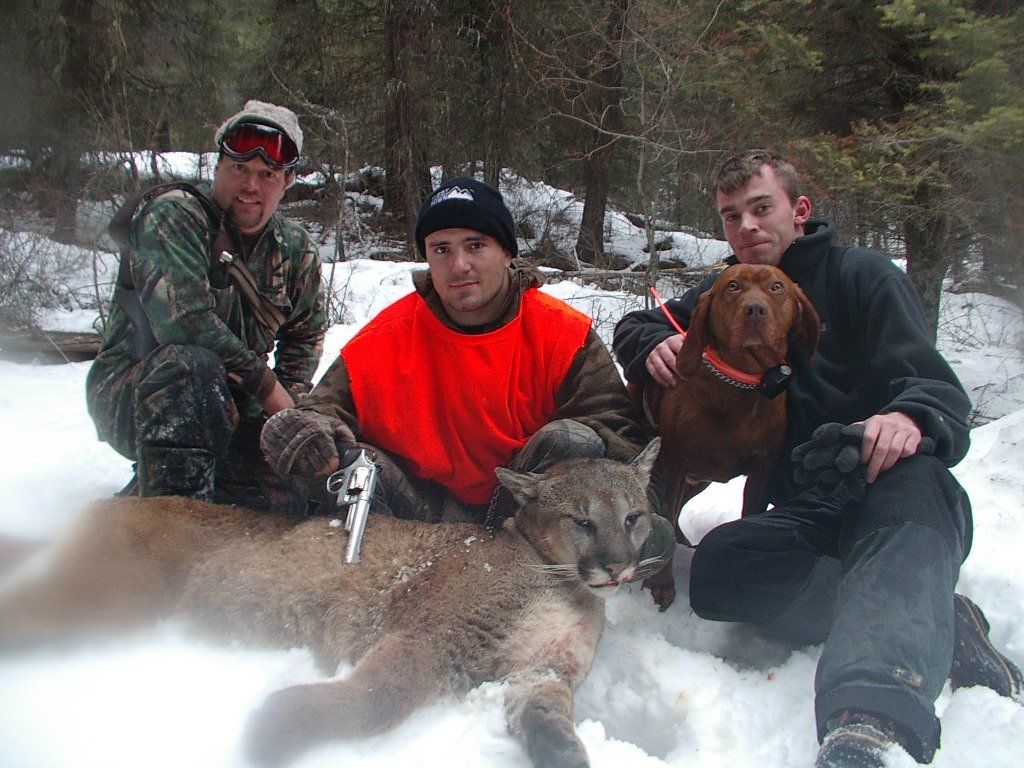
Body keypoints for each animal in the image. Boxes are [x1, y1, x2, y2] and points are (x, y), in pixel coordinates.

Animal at [0, 438, 659, 768]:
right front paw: (275, 727)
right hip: (113, 592)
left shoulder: (542, 672)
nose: (619, 566)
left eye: (634, 517)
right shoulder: (434, 635)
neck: (563, 583)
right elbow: (380, 697)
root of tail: (107, 507)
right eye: (582, 521)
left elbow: (556, 738)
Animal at [647, 264, 815, 606]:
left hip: (699, 479)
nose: (755, 310)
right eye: (732, 287)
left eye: (777, 287)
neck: (741, 386)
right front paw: (662, 582)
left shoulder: (762, 471)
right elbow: (665, 519)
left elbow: (749, 517)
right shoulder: (674, 465)